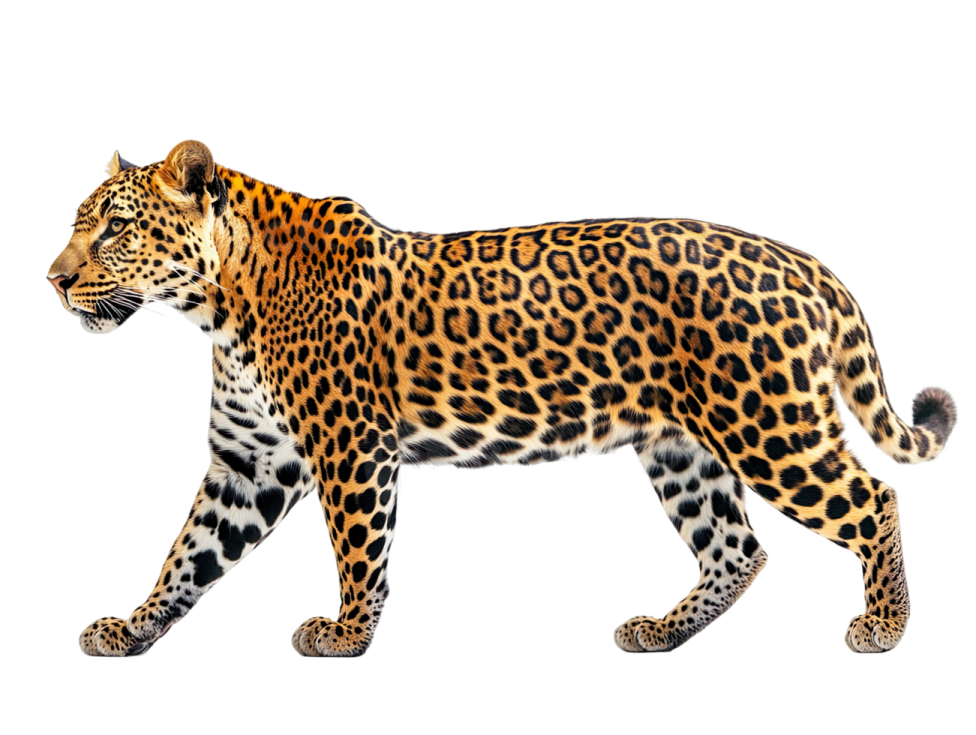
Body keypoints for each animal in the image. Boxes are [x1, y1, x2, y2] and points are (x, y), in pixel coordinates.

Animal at [51, 139, 958, 659]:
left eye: (115, 230)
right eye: (74, 224)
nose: (53, 280)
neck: (219, 305)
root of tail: (804, 263)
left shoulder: (349, 450)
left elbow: (358, 548)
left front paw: (345, 635)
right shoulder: (250, 465)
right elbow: (188, 554)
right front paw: (132, 626)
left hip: (773, 428)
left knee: (873, 498)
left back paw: (885, 625)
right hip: (685, 450)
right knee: (738, 550)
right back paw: (662, 631)